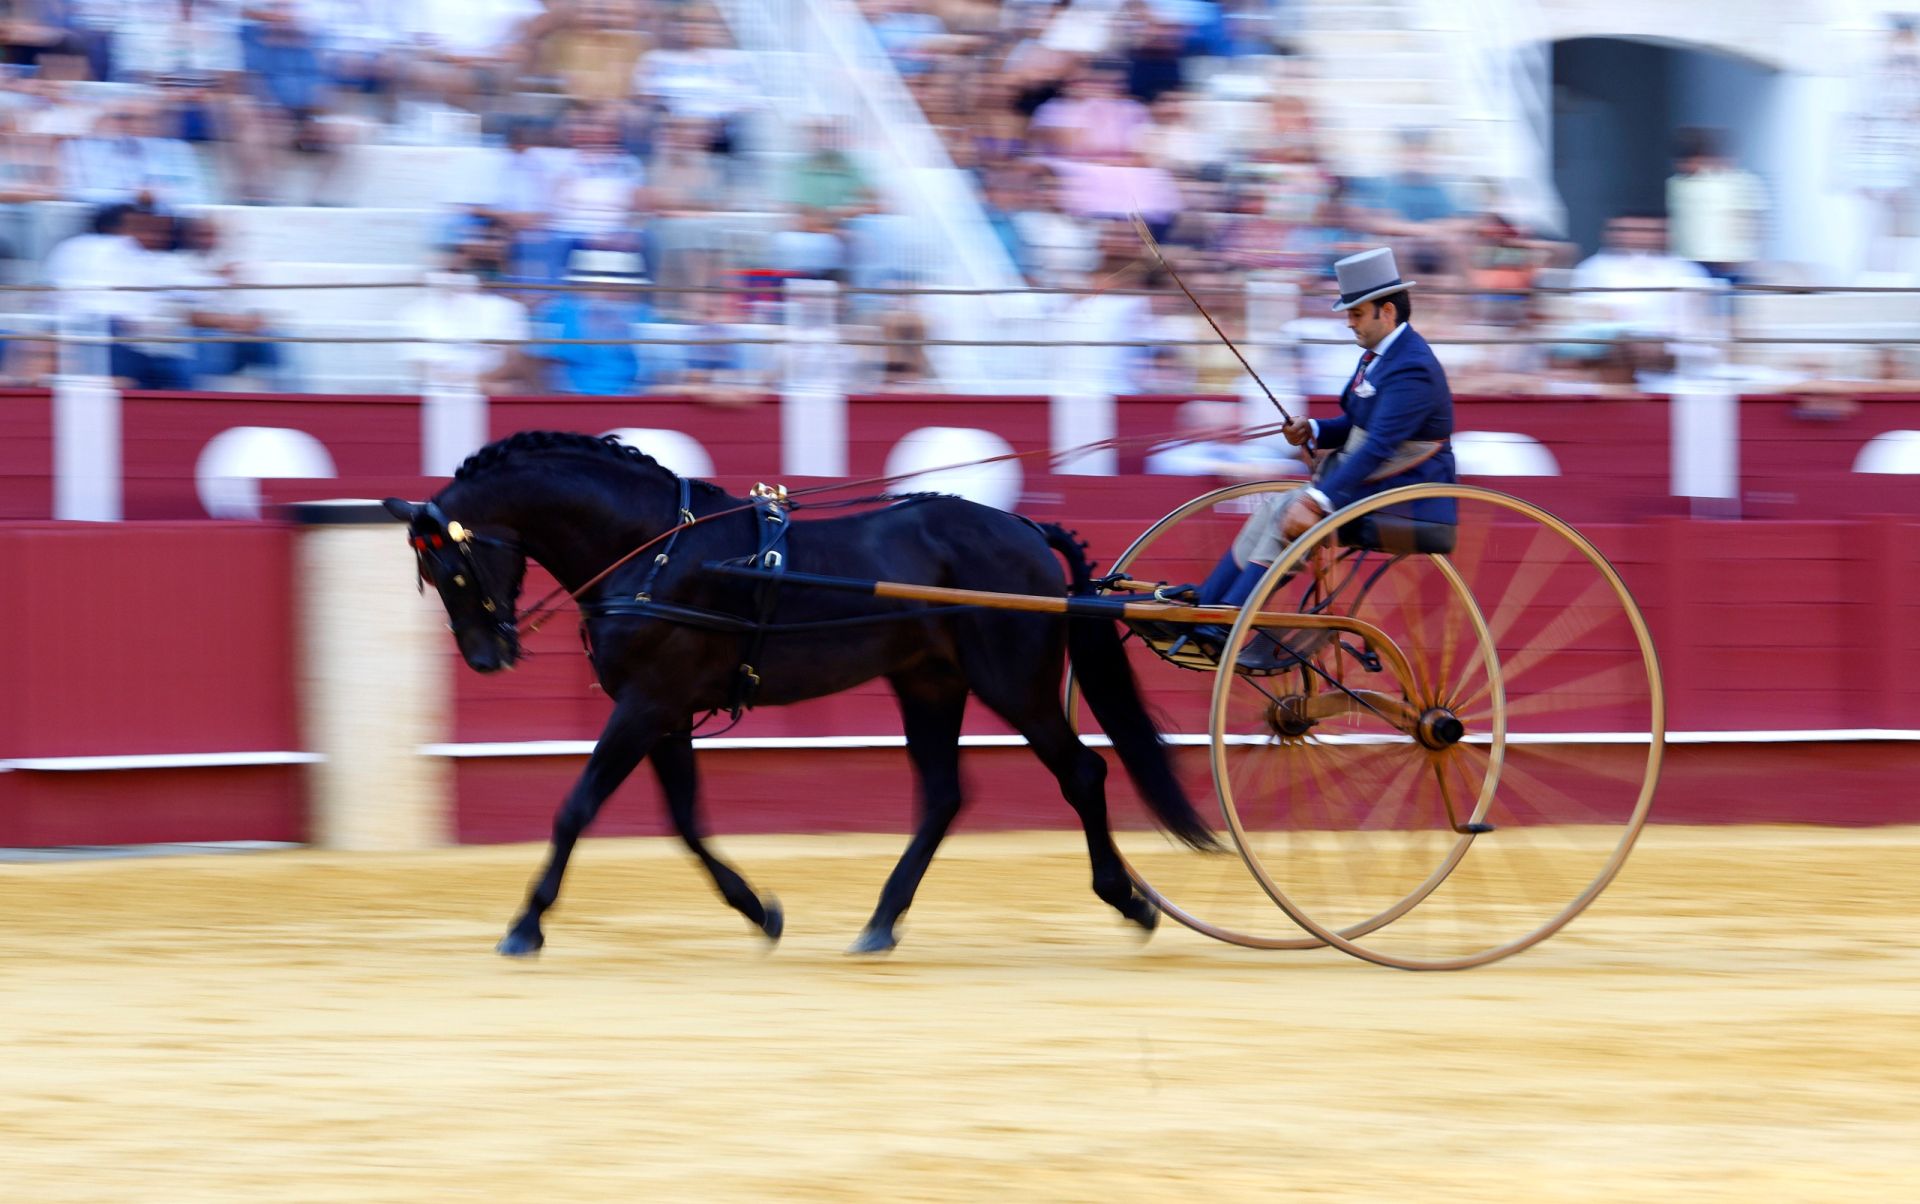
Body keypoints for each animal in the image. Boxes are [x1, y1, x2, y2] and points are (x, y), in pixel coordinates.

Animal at [382, 428, 1205, 956]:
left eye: (449, 568)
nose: (487, 658)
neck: (653, 549)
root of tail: (1026, 530)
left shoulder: (646, 704)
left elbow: (577, 806)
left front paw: (525, 926)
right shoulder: (665, 712)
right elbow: (684, 819)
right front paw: (758, 911)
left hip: (1014, 684)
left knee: (1082, 771)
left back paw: (1128, 900)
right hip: (928, 683)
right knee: (943, 794)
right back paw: (880, 923)